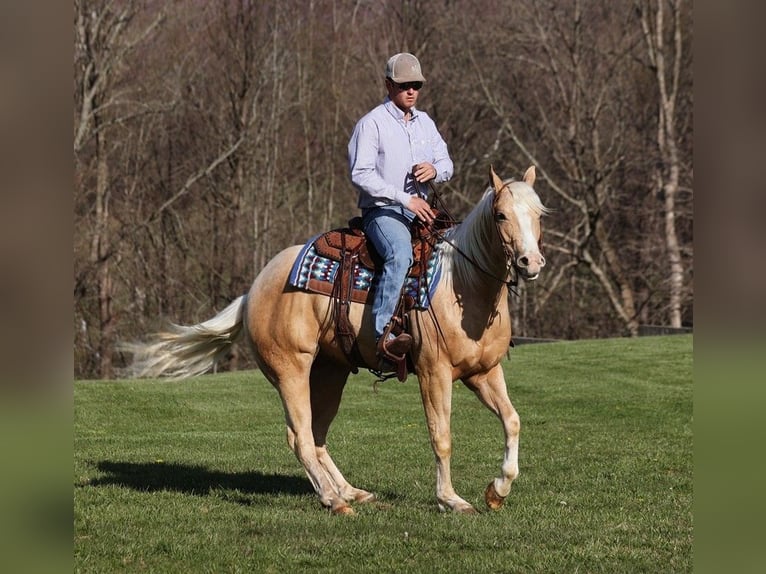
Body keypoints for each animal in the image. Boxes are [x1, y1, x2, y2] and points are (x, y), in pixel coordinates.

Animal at [123, 165, 548, 516]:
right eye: (501, 215)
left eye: (539, 214)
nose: (530, 262)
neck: (461, 282)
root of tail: (252, 291)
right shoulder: (434, 373)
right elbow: (441, 436)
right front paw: (451, 499)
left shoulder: (484, 372)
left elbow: (512, 421)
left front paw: (498, 490)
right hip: (291, 370)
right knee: (299, 436)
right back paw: (333, 500)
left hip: (330, 372)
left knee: (316, 435)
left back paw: (349, 492)